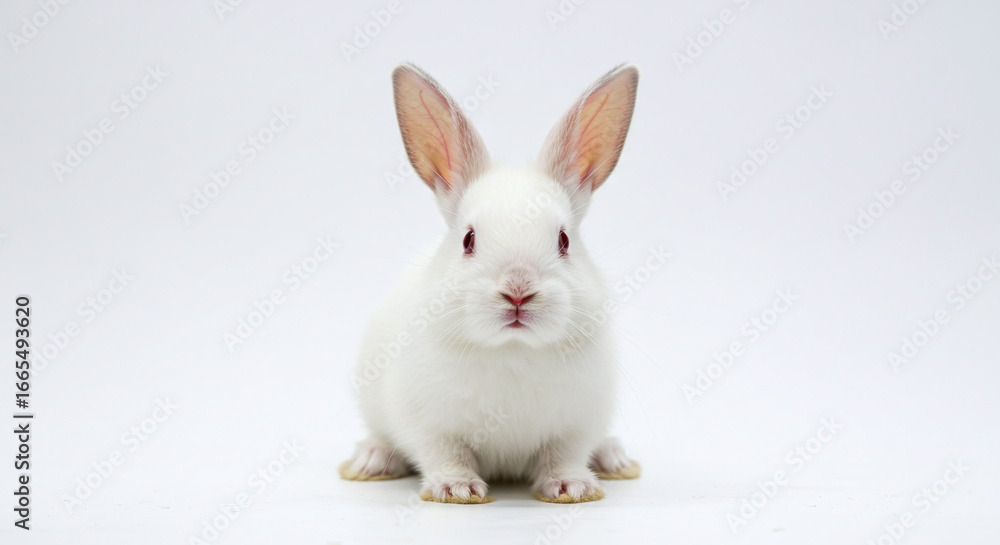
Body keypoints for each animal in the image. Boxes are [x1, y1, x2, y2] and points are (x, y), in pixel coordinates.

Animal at [341, 63, 641, 504]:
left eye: (564, 240)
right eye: (469, 239)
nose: (518, 291)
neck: (511, 350)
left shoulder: (578, 423)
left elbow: (564, 454)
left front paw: (572, 486)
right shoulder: (426, 423)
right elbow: (445, 452)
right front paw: (456, 489)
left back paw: (614, 459)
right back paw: (370, 460)